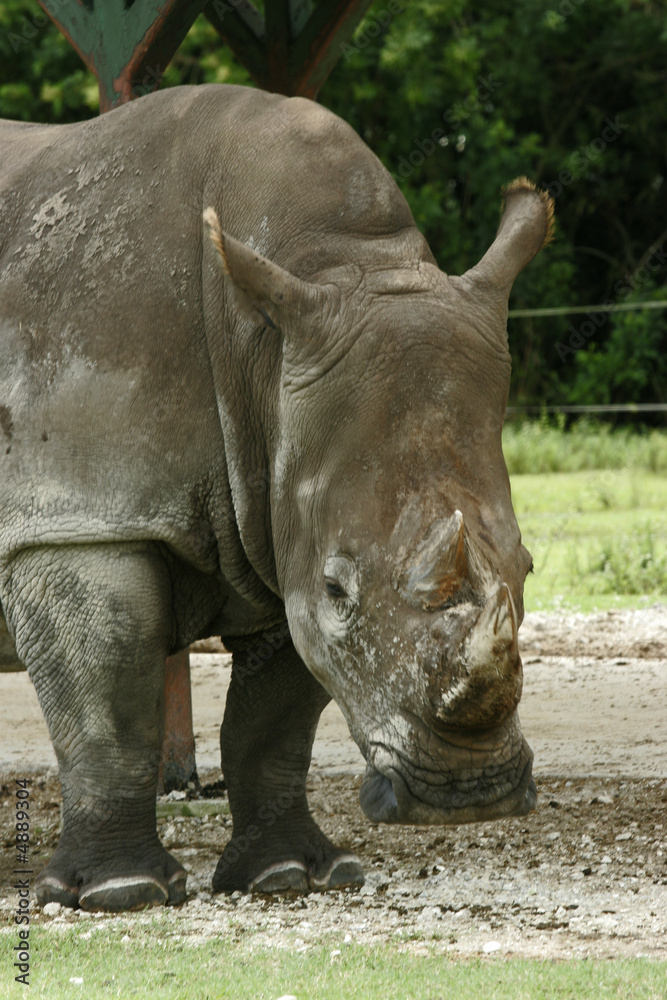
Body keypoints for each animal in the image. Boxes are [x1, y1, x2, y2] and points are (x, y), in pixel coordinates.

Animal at [0, 84, 552, 912]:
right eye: (338, 589)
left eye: (524, 569)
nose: (467, 794)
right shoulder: (81, 517)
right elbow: (111, 702)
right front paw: (122, 893)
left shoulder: (280, 520)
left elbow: (274, 723)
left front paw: (289, 875)